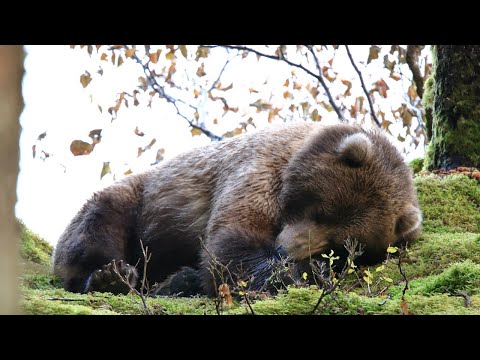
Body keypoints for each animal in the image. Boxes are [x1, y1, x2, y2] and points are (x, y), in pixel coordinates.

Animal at [52, 122, 422, 296]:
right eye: (320, 211)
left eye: (341, 245)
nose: (285, 249)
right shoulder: (257, 170)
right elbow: (232, 239)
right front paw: (294, 275)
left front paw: (310, 271)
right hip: (142, 202)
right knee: (99, 223)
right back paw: (111, 275)